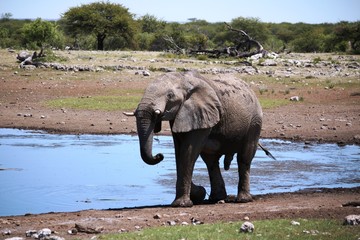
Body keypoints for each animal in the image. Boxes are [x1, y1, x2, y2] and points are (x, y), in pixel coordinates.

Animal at [131, 70, 266, 207]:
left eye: (170, 95)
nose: (159, 155)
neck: (184, 79)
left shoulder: (202, 114)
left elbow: (188, 152)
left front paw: (182, 204)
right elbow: (179, 152)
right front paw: (198, 194)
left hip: (255, 122)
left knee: (244, 157)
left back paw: (243, 199)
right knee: (211, 161)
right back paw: (216, 198)